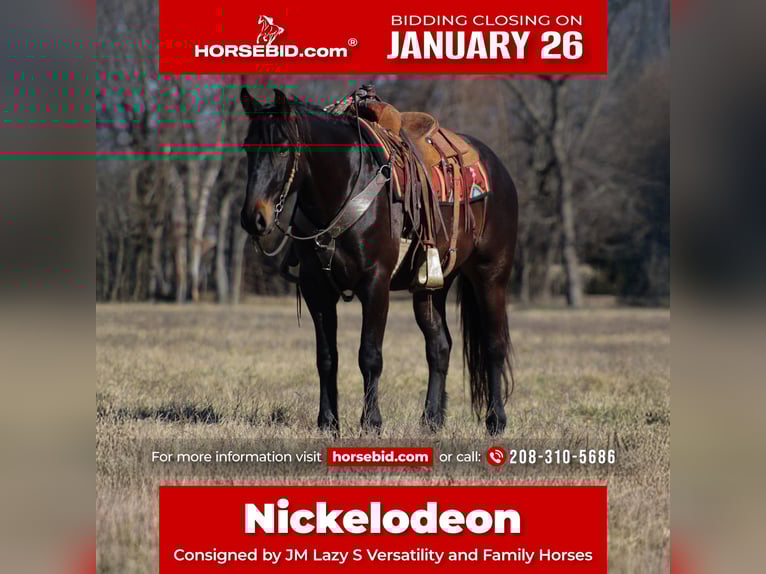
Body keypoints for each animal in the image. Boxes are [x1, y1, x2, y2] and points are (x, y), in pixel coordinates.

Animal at [239, 88, 519, 435]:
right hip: (432, 286)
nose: (253, 218)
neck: (345, 186)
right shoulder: (317, 290)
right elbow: (326, 357)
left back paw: (496, 420)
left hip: (490, 276)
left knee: (494, 345)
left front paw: (371, 422)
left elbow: (369, 355)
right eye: (247, 148)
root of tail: (498, 169)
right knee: (439, 346)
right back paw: (431, 420)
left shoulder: (375, 284)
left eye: (281, 148)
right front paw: (327, 421)